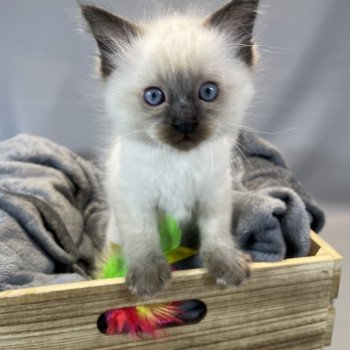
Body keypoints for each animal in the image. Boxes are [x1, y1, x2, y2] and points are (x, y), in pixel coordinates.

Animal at [80, 0, 258, 296]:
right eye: (154, 96)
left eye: (208, 92)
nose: (184, 124)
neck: (178, 162)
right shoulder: (134, 201)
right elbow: (143, 236)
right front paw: (148, 279)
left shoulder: (214, 195)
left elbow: (216, 232)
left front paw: (227, 266)